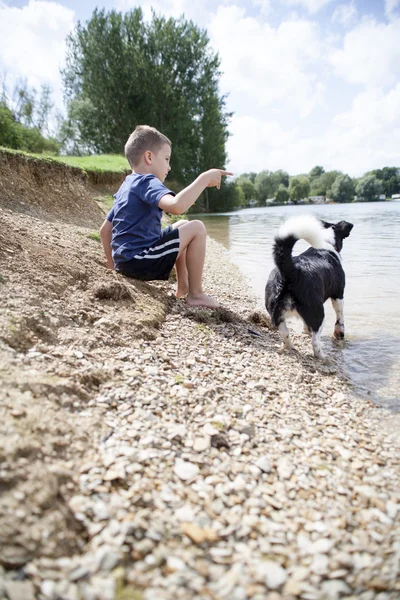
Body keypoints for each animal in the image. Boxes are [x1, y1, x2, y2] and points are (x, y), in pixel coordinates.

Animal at [266, 214, 354, 358]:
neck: (325, 242)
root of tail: (291, 272)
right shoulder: (338, 294)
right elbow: (339, 315)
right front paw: (339, 333)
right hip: (318, 313)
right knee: (315, 341)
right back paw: (322, 357)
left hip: (276, 313)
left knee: (285, 333)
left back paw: (289, 347)